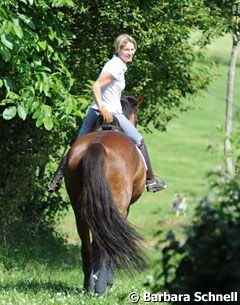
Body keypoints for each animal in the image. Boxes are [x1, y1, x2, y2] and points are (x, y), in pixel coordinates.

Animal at [63, 96, 146, 294]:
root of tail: (97, 145)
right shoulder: (125, 208)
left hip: (80, 208)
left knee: (87, 245)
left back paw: (89, 284)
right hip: (116, 205)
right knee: (110, 242)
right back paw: (101, 286)